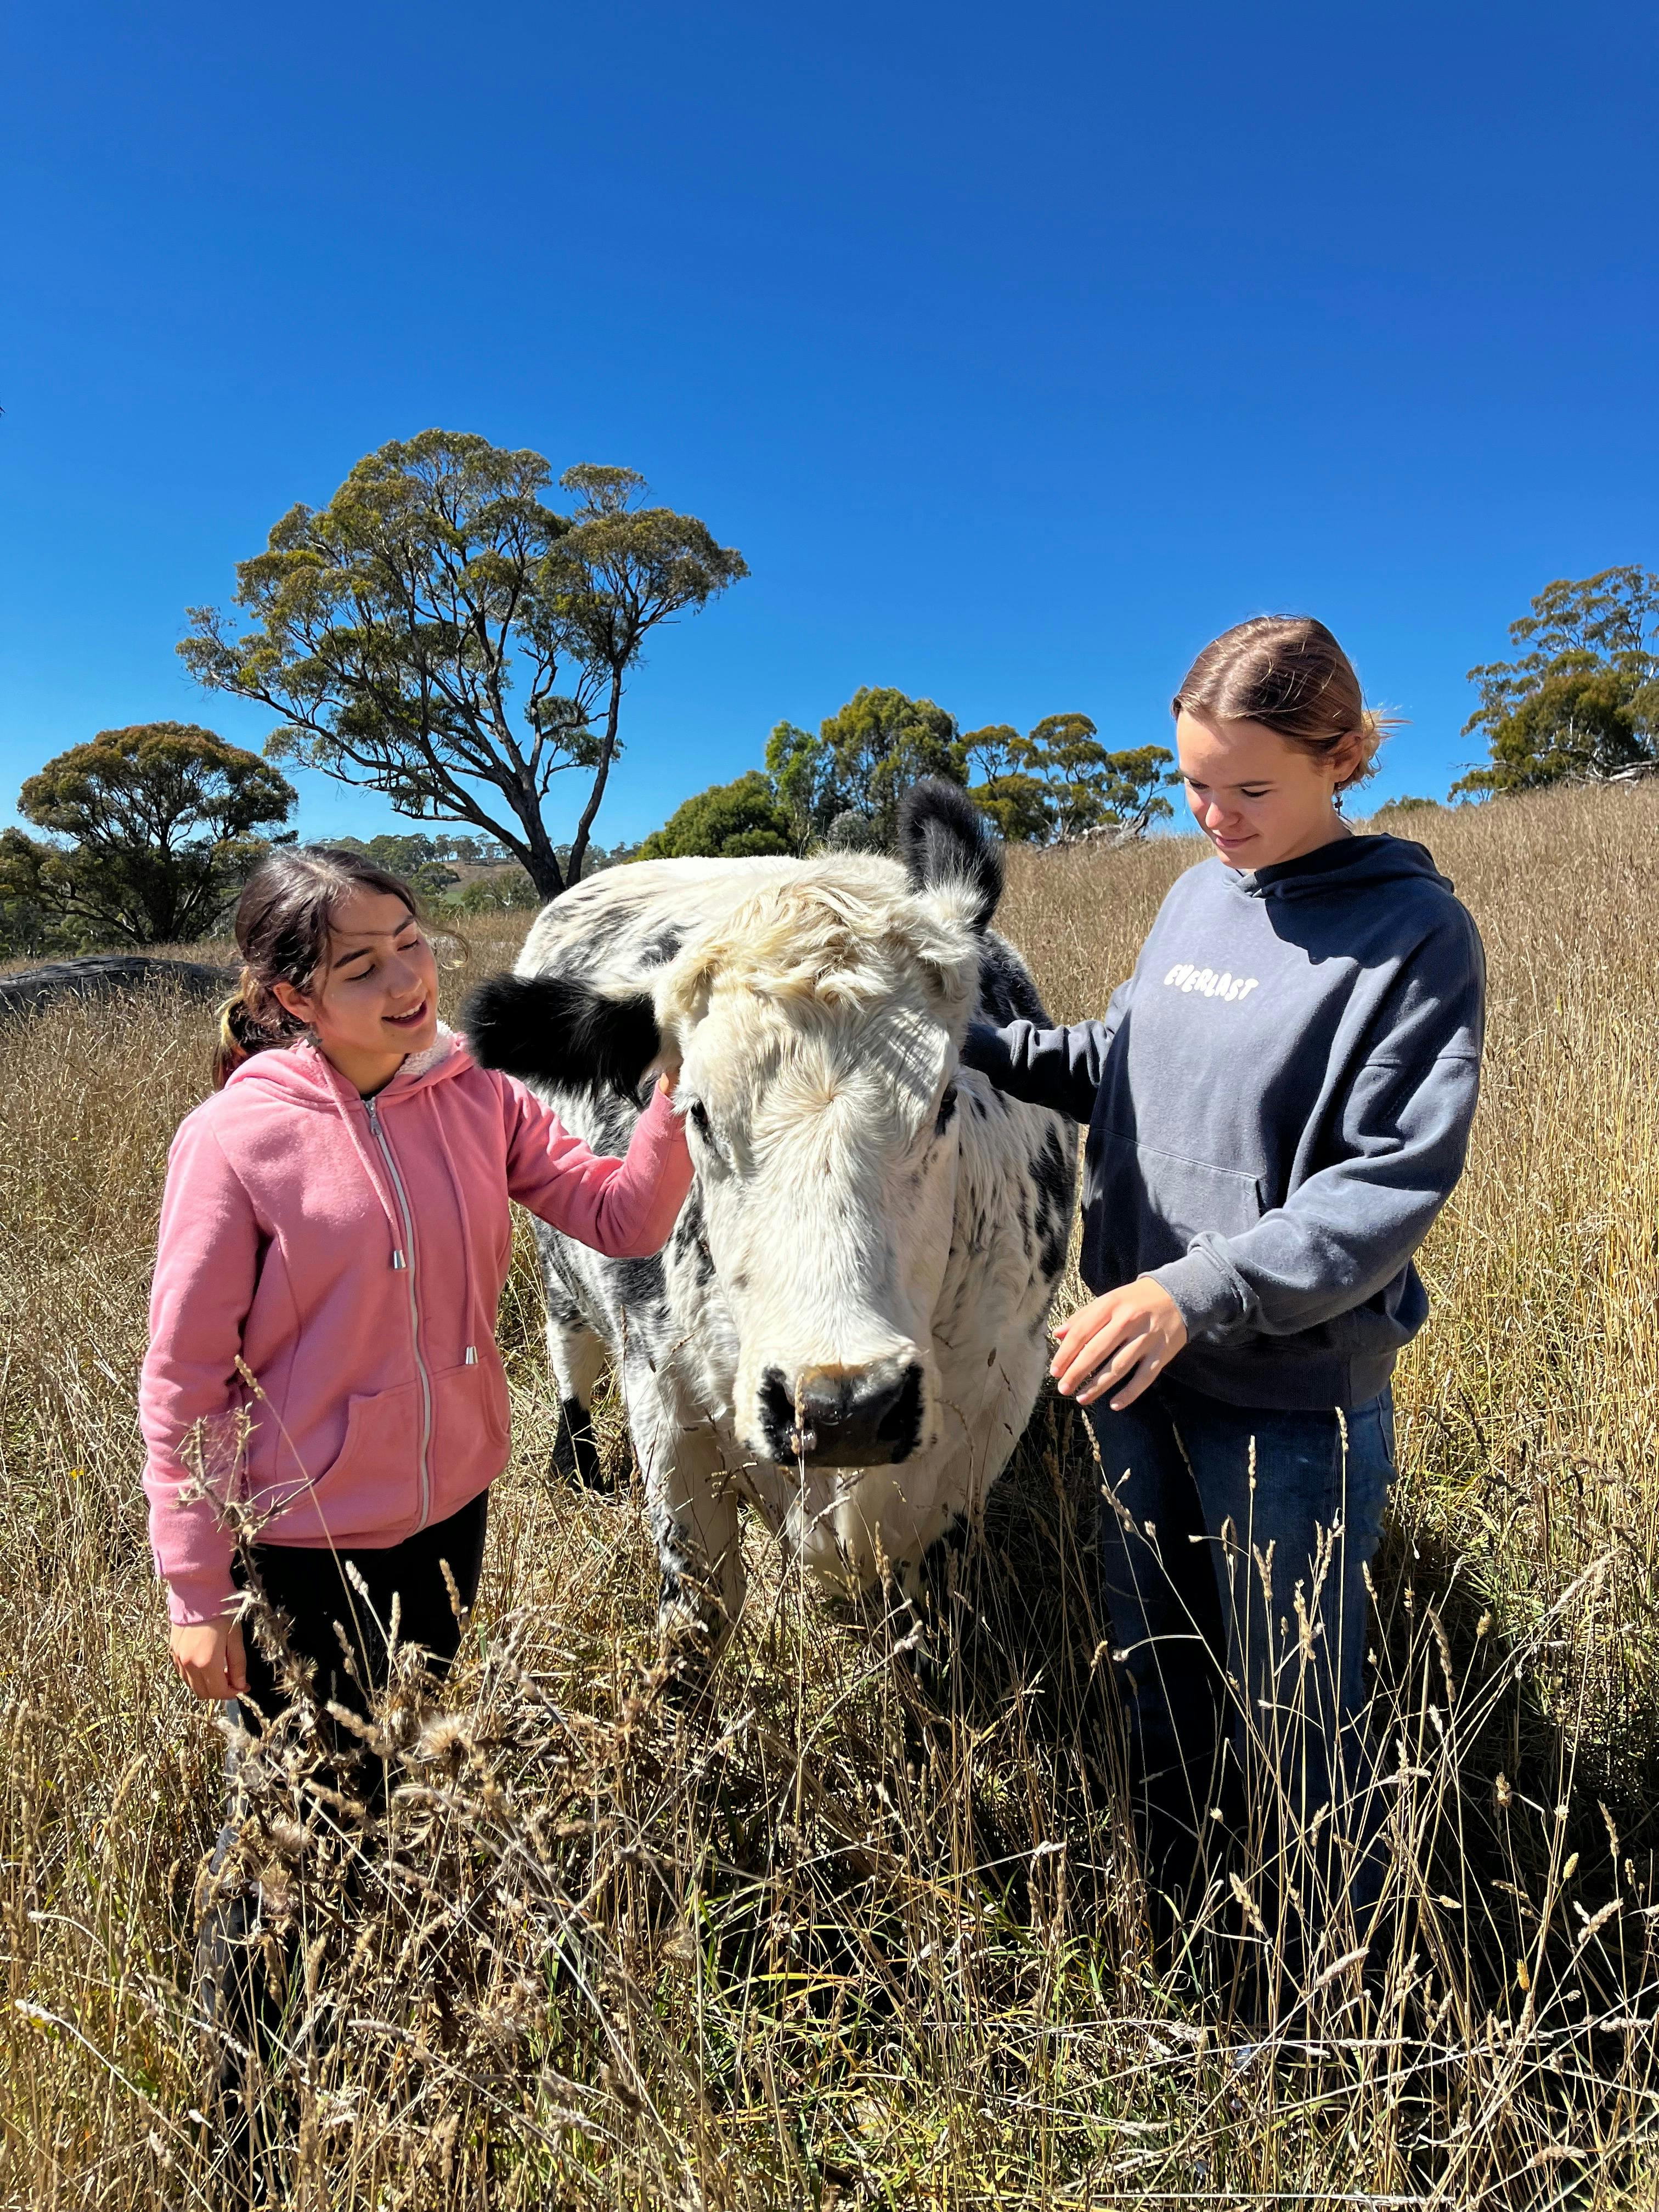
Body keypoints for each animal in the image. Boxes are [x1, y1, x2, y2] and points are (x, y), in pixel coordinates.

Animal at [462, 782, 1077, 1664]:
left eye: (945, 1102)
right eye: (696, 1113)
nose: (846, 1407)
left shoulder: (988, 1416)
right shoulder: (668, 1413)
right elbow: (697, 1616)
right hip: (558, 1277)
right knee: (571, 1361)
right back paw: (575, 1466)